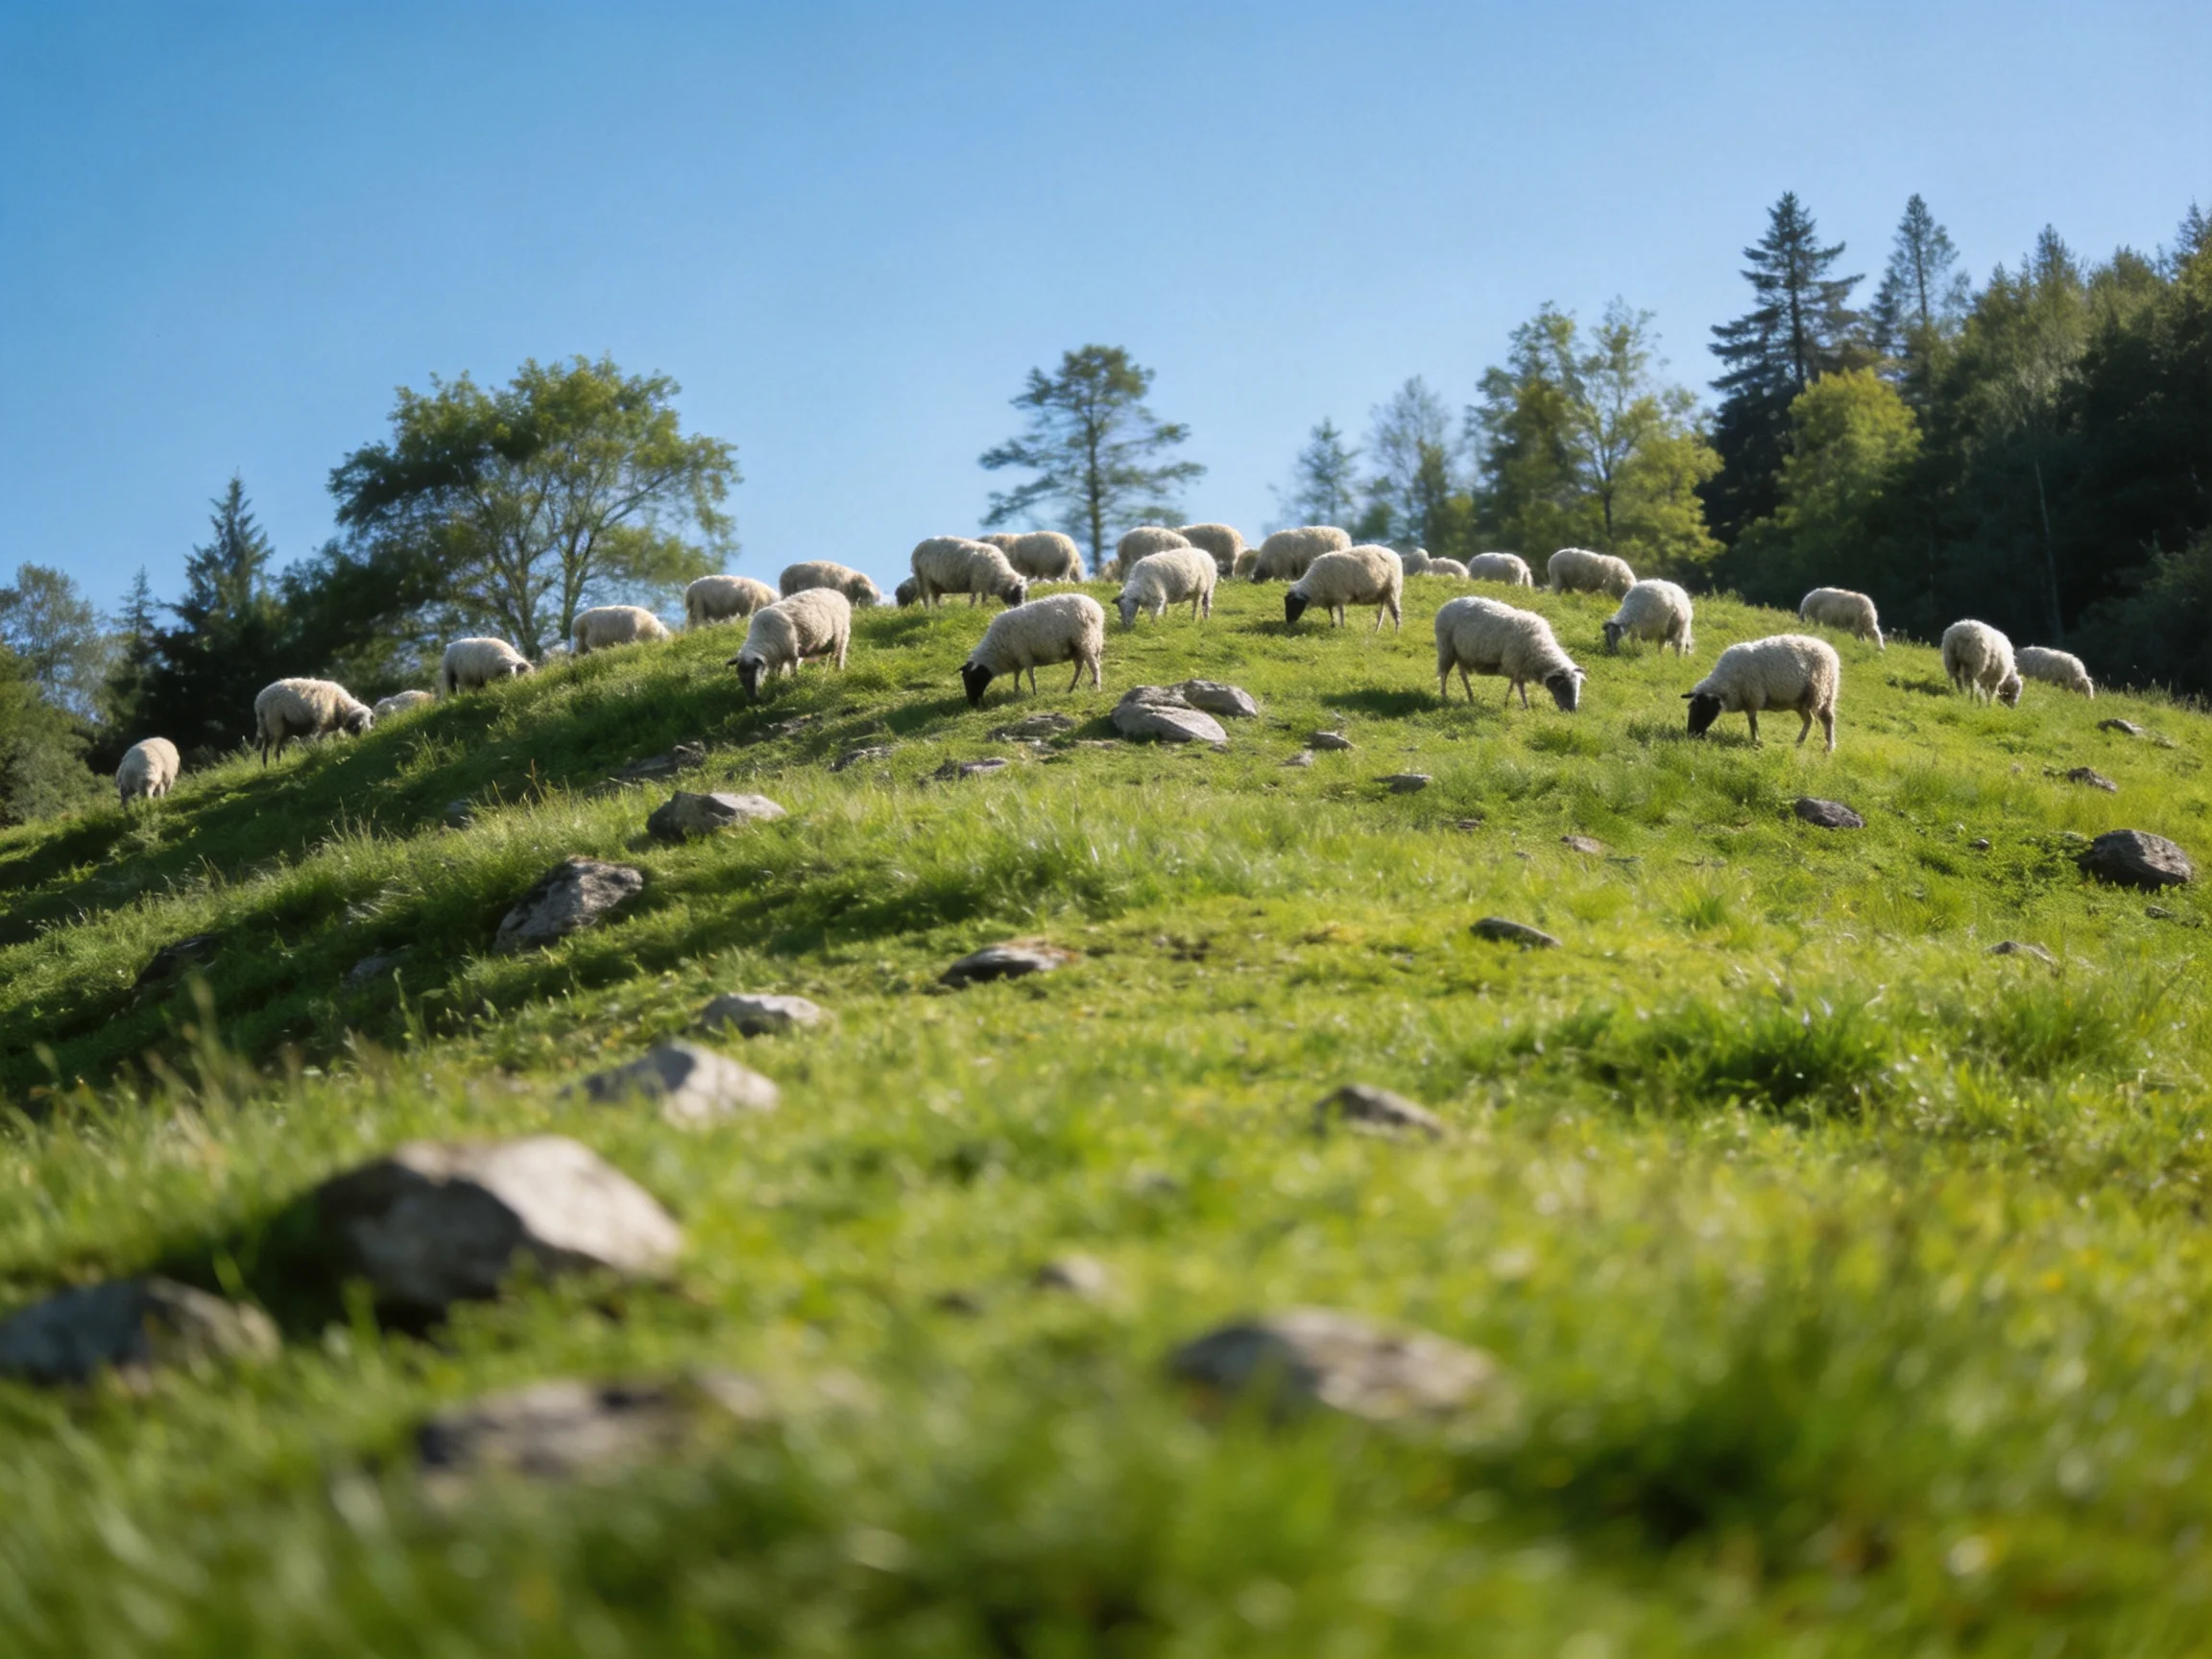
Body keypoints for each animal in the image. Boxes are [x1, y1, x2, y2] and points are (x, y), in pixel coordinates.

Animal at [727, 589, 852, 699]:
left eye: (754, 671)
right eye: (739, 676)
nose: (752, 697)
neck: (763, 637)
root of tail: (838, 593)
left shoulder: (791, 652)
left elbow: (793, 669)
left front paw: (793, 681)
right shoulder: (777, 655)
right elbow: (777, 672)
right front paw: (776, 682)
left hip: (842, 635)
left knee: (839, 656)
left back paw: (838, 671)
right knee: (831, 657)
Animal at [960, 593, 1106, 706]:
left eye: (972, 678)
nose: (972, 703)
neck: (997, 650)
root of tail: (1097, 609)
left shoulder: (1024, 655)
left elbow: (1031, 676)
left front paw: (1034, 693)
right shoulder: (1017, 659)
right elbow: (1017, 675)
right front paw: (1016, 690)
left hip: (1085, 642)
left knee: (1094, 667)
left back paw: (1097, 688)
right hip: (1080, 647)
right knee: (1081, 667)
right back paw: (1072, 688)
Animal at [1434, 596, 1585, 712]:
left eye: (1577, 686)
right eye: (1562, 687)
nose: (1572, 711)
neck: (1539, 648)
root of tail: (1448, 604)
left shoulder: (1518, 667)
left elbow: (1516, 685)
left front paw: (1514, 704)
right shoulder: (1514, 663)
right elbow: (1516, 686)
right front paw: (1519, 705)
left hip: (1461, 653)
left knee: (1462, 674)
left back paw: (1470, 697)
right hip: (1446, 648)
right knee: (1444, 674)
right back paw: (1444, 695)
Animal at [1683, 634, 1841, 751]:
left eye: (1702, 709)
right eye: (1691, 709)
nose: (1691, 735)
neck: (1726, 681)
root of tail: (1829, 649)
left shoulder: (1752, 697)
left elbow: (1753, 722)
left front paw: (1756, 741)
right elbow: (1752, 721)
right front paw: (1757, 741)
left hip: (1820, 693)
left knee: (1822, 720)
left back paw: (1821, 746)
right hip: (1804, 700)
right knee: (1815, 720)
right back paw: (1811, 745)